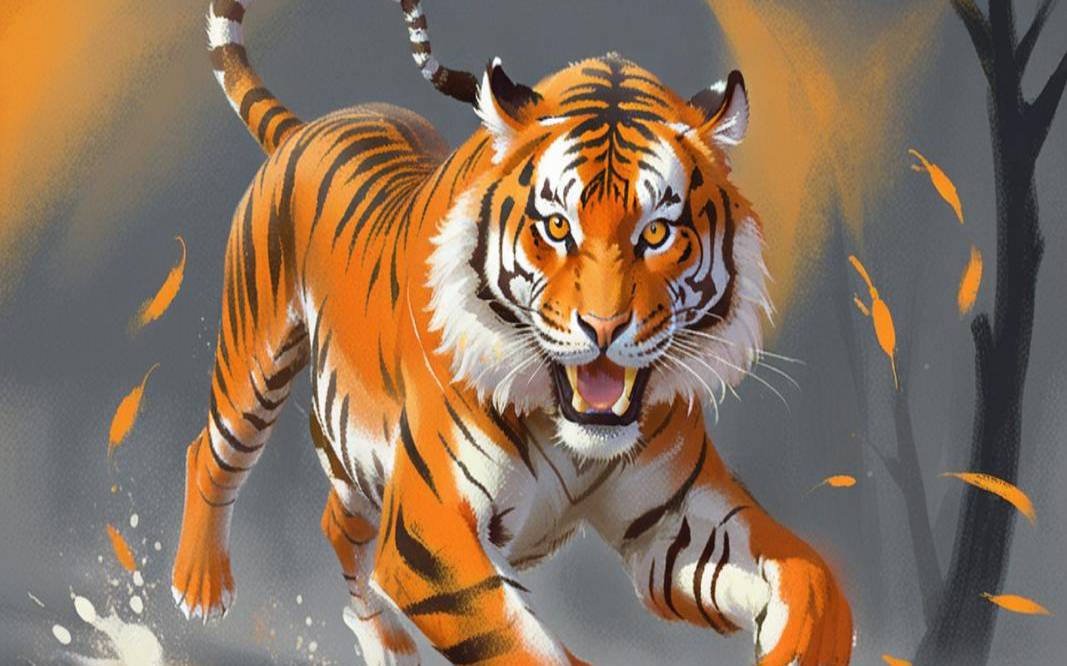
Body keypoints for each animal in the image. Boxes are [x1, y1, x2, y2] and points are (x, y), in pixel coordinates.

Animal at [171, 0, 853, 664]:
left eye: (656, 233)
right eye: (556, 227)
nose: (604, 326)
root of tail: (309, 126)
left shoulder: (677, 521)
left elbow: (811, 574)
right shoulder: (429, 534)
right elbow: (525, 645)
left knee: (339, 524)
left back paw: (387, 645)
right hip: (254, 361)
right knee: (210, 452)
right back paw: (200, 589)